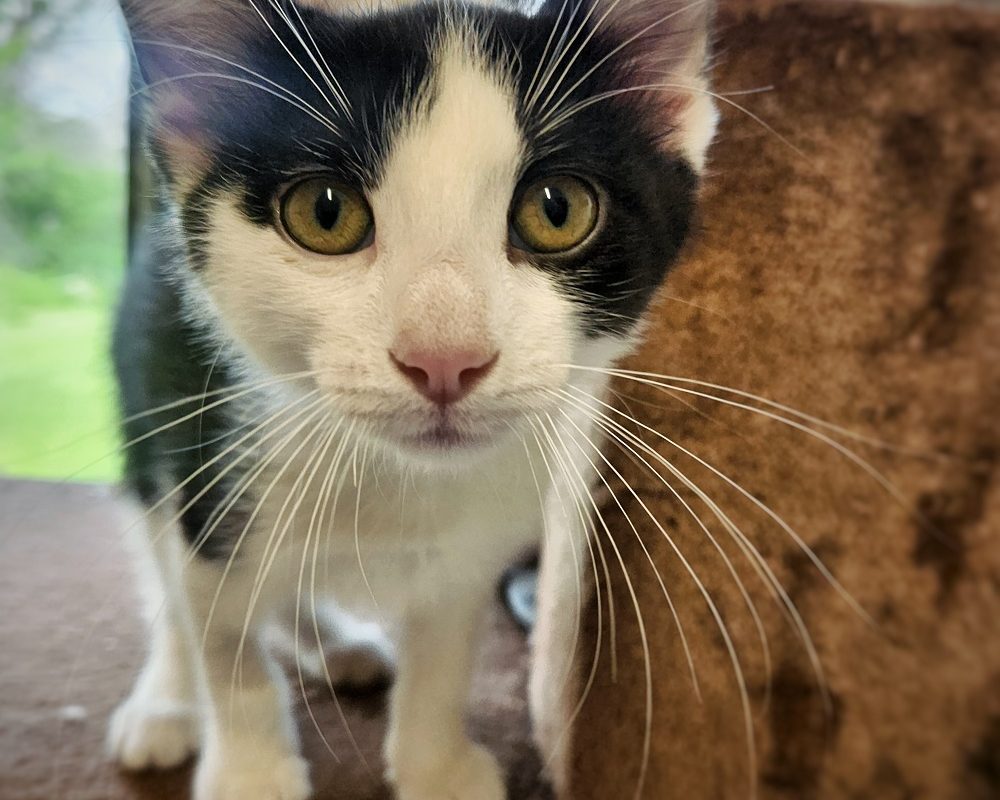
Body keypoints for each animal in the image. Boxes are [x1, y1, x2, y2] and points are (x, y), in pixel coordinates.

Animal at [107, 1, 716, 798]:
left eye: (557, 211)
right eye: (324, 213)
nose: (445, 359)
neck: (398, 477)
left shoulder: (472, 546)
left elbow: (446, 647)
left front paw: (436, 765)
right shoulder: (206, 460)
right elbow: (224, 641)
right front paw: (250, 771)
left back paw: (333, 645)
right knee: (170, 583)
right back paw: (166, 703)